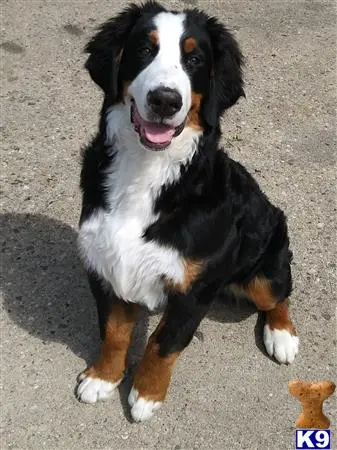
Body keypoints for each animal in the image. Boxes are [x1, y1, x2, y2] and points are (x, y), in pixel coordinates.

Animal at [75, 0, 296, 422]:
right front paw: (103, 377)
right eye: (144, 49)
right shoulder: (104, 261)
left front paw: (146, 394)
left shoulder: (192, 290)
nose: (165, 100)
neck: (147, 174)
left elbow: (164, 344)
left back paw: (282, 336)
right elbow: (113, 331)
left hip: (266, 261)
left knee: (279, 293)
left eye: (194, 59)